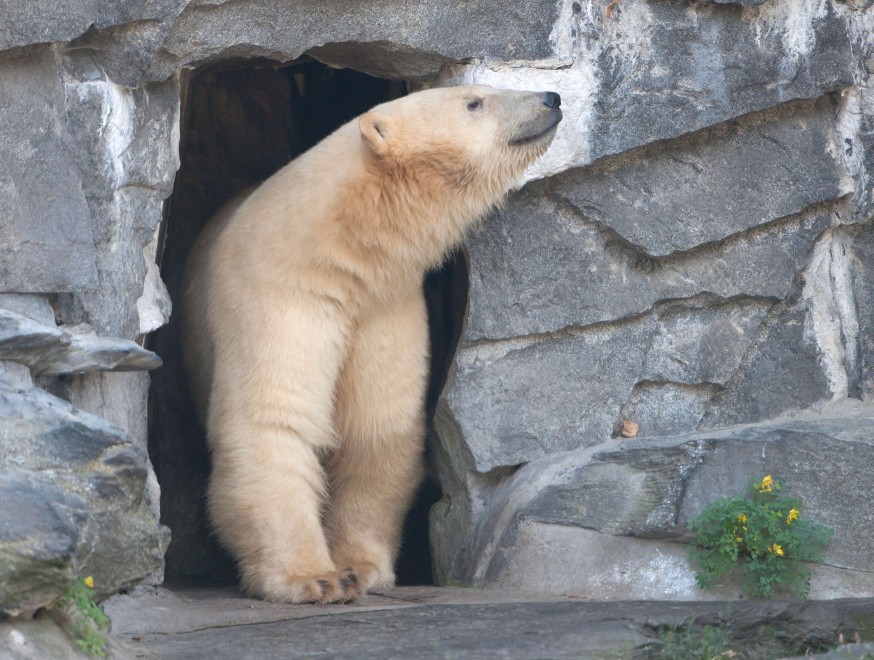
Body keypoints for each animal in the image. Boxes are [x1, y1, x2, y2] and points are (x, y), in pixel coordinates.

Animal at [180, 85, 562, 604]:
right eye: (474, 102)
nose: (551, 98)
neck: (336, 249)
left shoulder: (386, 306)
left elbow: (377, 428)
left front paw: (358, 568)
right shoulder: (280, 296)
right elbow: (272, 421)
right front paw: (311, 577)